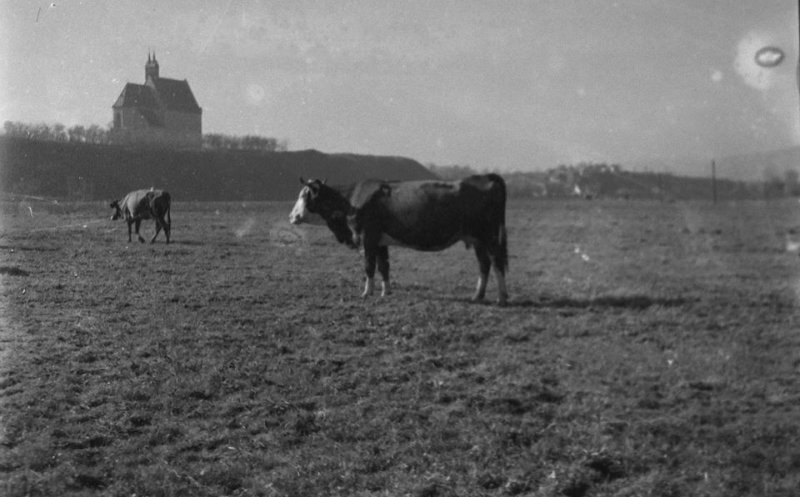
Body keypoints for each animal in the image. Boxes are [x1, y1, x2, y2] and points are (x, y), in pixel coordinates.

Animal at [290, 174, 510, 306]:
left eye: (303, 195)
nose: (292, 216)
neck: (350, 201)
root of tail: (484, 177)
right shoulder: (380, 242)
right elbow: (384, 266)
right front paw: (385, 292)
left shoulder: (368, 237)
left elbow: (369, 266)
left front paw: (366, 292)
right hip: (477, 240)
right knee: (484, 264)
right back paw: (477, 296)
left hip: (490, 237)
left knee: (497, 263)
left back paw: (501, 297)